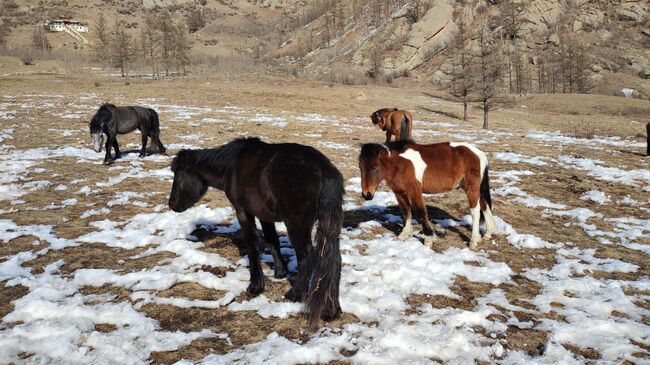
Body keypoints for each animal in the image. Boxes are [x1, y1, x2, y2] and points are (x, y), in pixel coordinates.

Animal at [168, 137, 344, 328]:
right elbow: (272, 241)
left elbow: (252, 245)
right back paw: (331, 309)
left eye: (178, 175)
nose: (172, 204)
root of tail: (325, 170)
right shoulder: (264, 215)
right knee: (334, 259)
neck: (231, 165)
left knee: (307, 256)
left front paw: (255, 286)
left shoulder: (243, 211)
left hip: (296, 224)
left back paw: (295, 294)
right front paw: (280, 272)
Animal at [360, 139, 496, 247]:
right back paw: (487, 234)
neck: (399, 163)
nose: (367, 195)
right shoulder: (399, 192)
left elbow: (421, 211)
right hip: (476, 189)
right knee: (485, 206)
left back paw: (473, 241)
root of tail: (479, 154)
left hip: (471, 188)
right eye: (361, 168)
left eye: (374, 168)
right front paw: (404, 234)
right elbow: (406, 211)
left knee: (475, 211)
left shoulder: (414, 190)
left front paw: (429, 238)